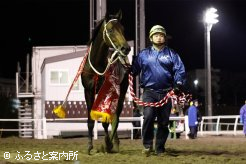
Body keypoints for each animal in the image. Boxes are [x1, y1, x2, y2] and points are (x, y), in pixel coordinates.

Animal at [80, 9, 131, 154]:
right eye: (111, 29)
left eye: (123, 29)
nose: (126, 48)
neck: (97, 67)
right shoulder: (88, 91)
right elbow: (91, 120)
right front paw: (89, 147)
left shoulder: (106, 92)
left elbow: (105, 121)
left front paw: (108, 144)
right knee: (113, 116)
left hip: (121, 92)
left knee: (116, 116)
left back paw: (113, 143)